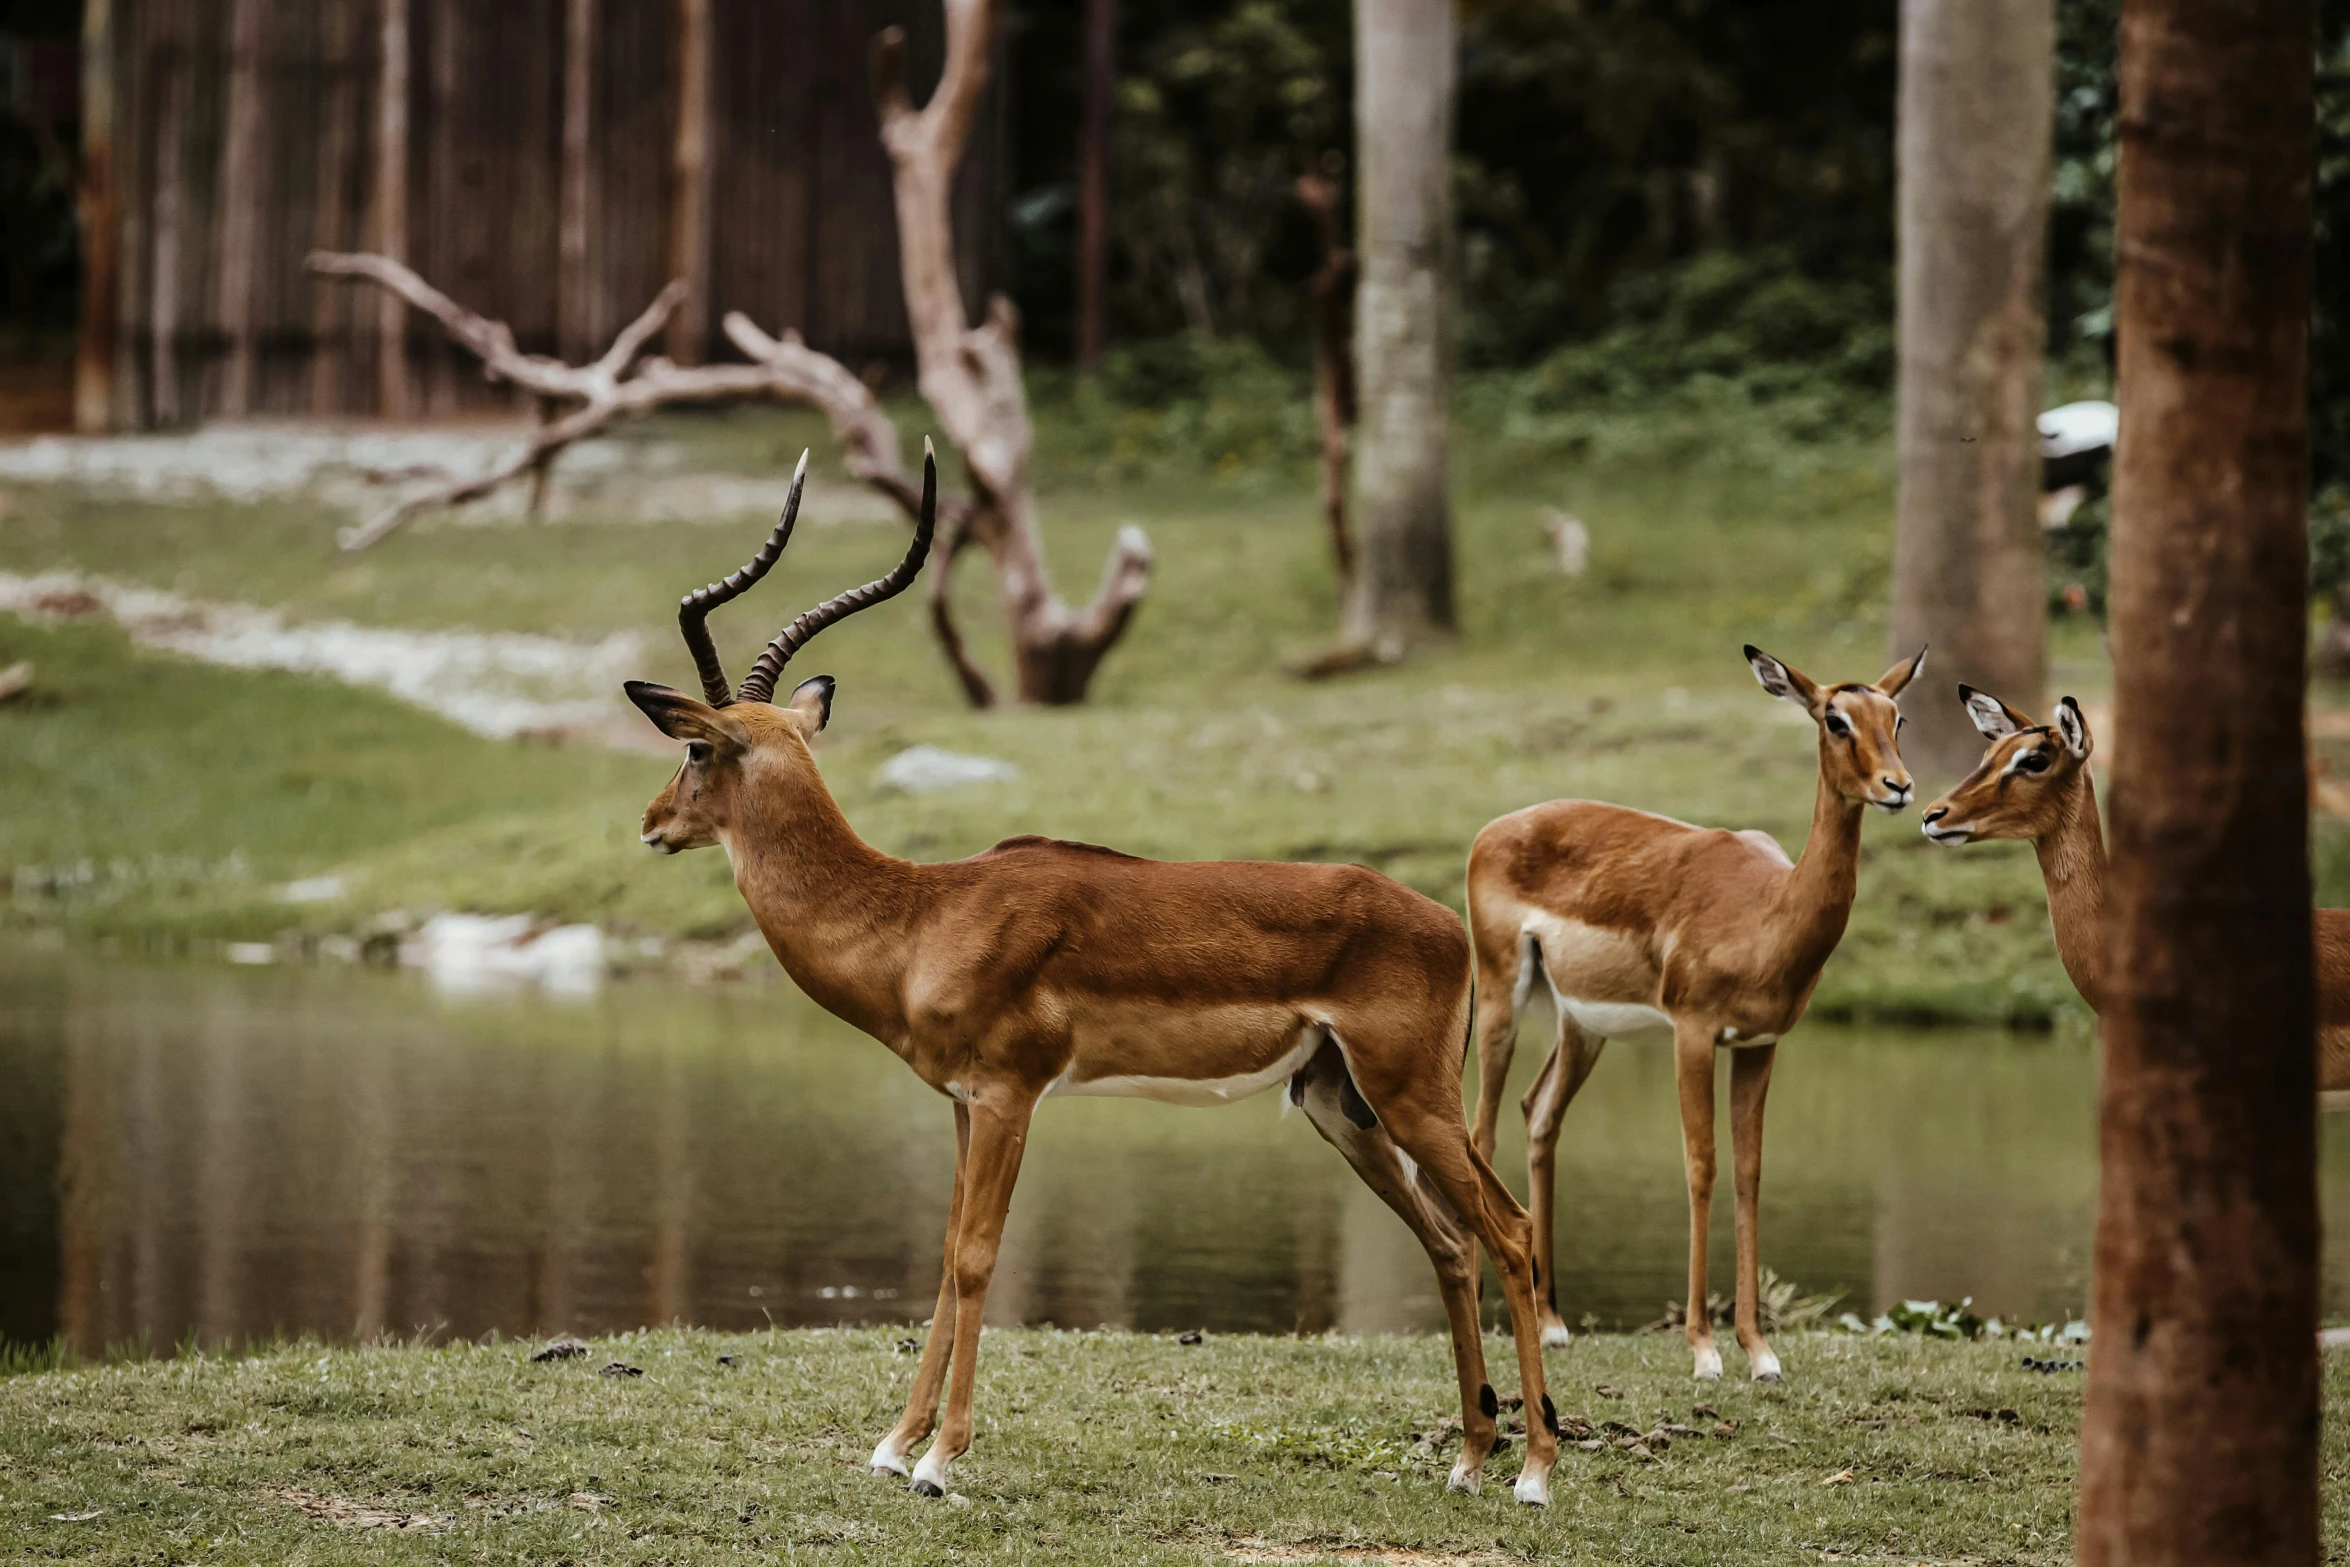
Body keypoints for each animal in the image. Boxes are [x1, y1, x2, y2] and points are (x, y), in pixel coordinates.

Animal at [629, 446, 1560, 1503]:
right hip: (1342, 1104)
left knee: (1510, 1229)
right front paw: (893, 1444)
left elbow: (979, 1255)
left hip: (1410, 1096)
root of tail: (1446, 922)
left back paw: (1534, 1471)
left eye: (694, 745)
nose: (651, 823)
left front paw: (939, 1461)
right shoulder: (963, 1103)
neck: (918, 915)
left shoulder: (1010, 1095)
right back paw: (1469, 1459)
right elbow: (944, 1256)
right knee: (1450, 1240)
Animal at [1466, 648, 1926, 1381]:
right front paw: (1705, 1348)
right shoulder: (1693, 1032)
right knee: (1481, 1133)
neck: (1767, 912)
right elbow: (1701, 1165)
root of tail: (1493, 829)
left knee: (1539, 1114)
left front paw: (1760, 1351)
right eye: (1835, 718)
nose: (1899, 786)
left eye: (1897, 715)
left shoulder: (1760, 1043)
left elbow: (1750, 1171)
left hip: (1581, 1025)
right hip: (1501, 992)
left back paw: (1553, 1321)